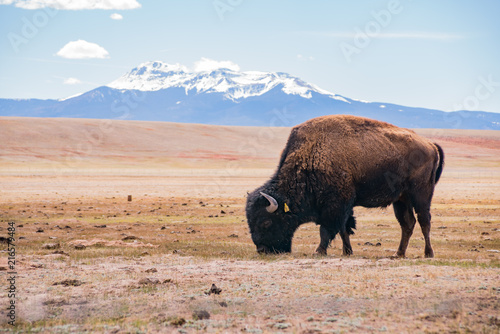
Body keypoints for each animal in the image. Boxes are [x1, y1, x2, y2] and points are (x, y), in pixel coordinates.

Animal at [246, 115, 446, 258]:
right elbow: (344, 229)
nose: (262, 250)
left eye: (266, 222)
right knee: (407, 223)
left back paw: (428, 254)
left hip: (421, 195)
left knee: (424, 220)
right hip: (401, 199)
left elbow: (327, 230)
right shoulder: (343, 207)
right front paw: (347, 251)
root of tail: (430, 145)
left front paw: (319, 251)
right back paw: (398, 254)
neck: (311, 156)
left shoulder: (335, 205)